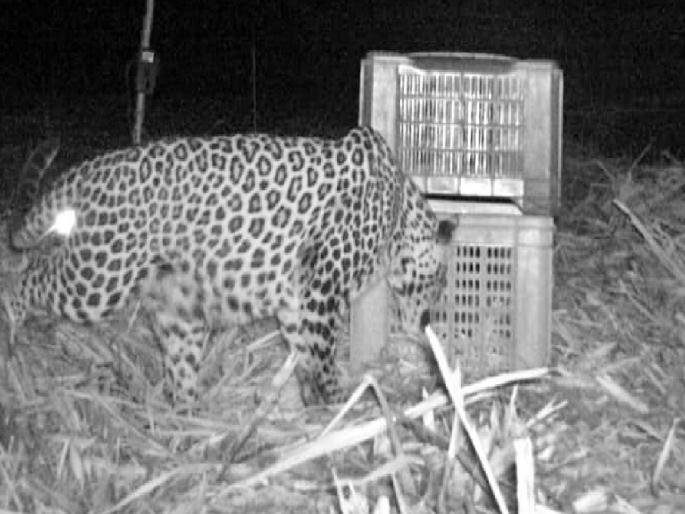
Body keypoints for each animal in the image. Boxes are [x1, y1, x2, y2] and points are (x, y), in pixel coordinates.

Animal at [5, 126, 453, 405]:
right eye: (438, 282)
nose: (426, 320)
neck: (399, 208)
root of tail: (84, 171)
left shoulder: (298, 299)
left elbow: (304, 347)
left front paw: (313, 397)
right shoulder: (323, 290)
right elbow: (323, 353)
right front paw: (336, 403)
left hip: (176, 307)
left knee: (180, 369)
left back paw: (187, 421)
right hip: (98, 277)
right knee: (27, 275)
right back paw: (10, 326)